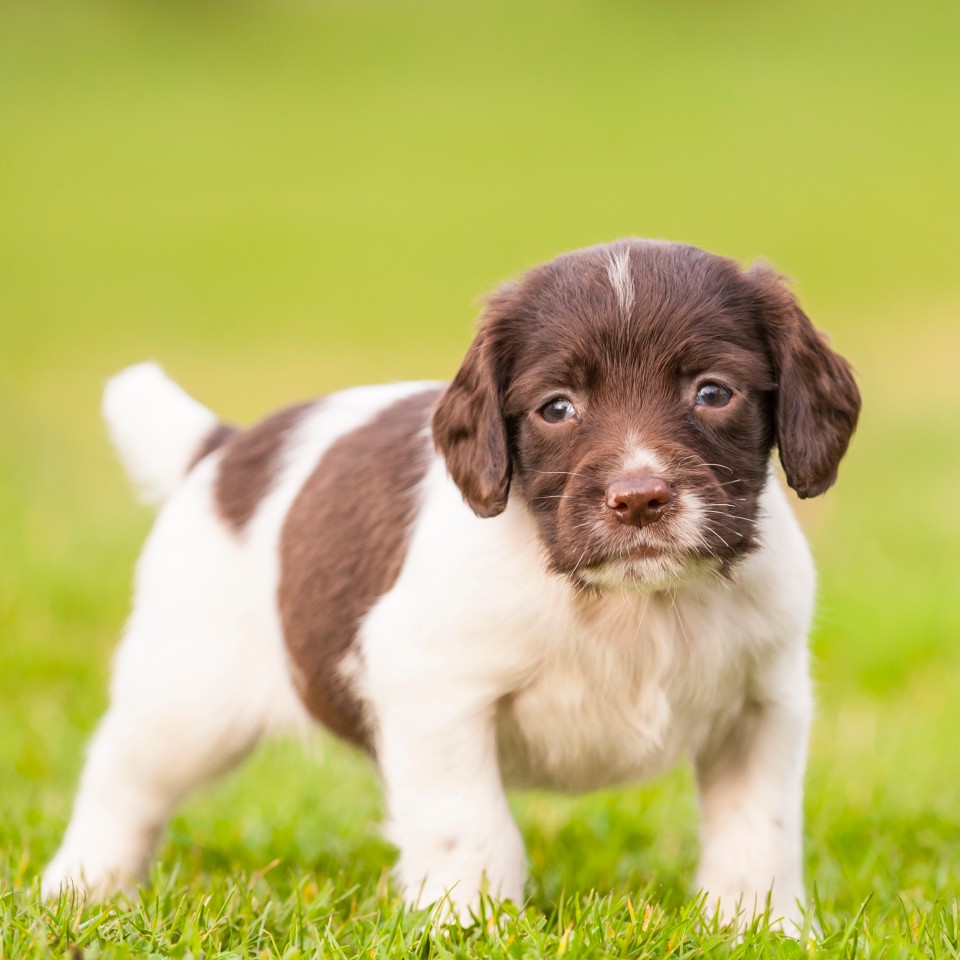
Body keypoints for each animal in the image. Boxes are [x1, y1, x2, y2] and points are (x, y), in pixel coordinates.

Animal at [41, 238, 860, 928]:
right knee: (122, 782)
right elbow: (470, 825)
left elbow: (759, 830)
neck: (624, 604)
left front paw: (762, 928)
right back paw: (83, 887)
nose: (638, 499)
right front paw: (468, 926)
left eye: (713, 392)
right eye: (557, 408)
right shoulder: (432, 690)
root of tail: (226, 449)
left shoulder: (764, 704)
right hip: (187, 699)